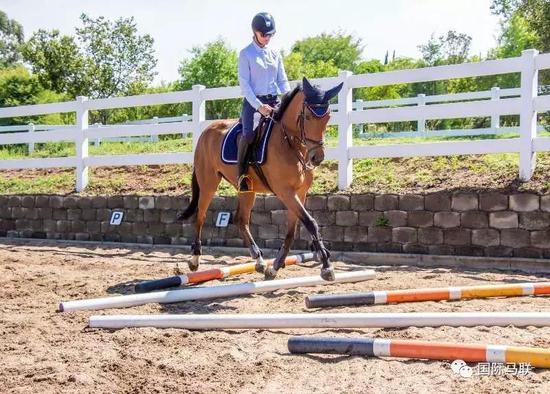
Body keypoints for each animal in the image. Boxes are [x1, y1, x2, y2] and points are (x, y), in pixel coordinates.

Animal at [179, 77, 342, 280]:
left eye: (327, 117)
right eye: (308, 117)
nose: (317, 157)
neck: (289, 143)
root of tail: (206, 131)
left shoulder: (300, 193)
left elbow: (292, 230)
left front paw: (275, 267)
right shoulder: (285, 192)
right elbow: (310, 223)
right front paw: (327, 267)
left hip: (247, 190)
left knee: (241, 220)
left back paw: (259, 260)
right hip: (208, 183)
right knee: (200, 216)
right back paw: (194, 260)